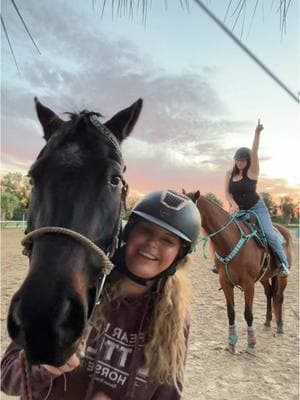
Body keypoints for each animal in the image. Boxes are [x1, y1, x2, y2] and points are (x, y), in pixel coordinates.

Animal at [184, 190, 292, 354]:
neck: (230, 241)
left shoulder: (248, 285)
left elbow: (248, 314)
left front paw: (251, 345)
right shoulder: (225, 282)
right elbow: (231, 312)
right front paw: (231, 343)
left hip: (281, 277)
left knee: (279, 297)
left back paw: (279, 325)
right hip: (264, 277)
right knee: (269, 294)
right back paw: (267, 322)